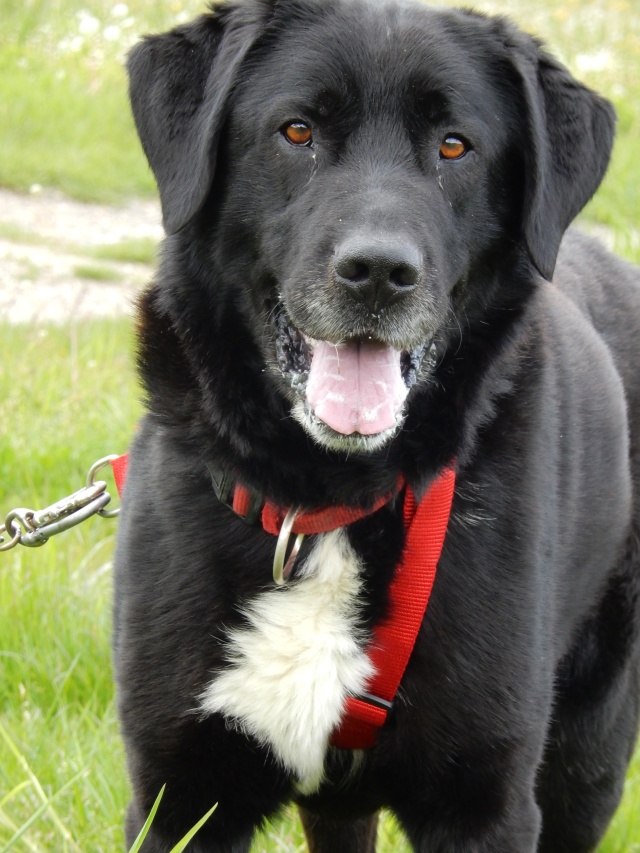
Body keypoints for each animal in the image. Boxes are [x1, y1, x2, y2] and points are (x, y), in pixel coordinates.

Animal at [115, 3, 640, 848]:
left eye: (454, 145)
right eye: (297, 130)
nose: (379, 273)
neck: (325, 503)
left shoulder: (485, 804)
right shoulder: (178, 794)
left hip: (589, 752)